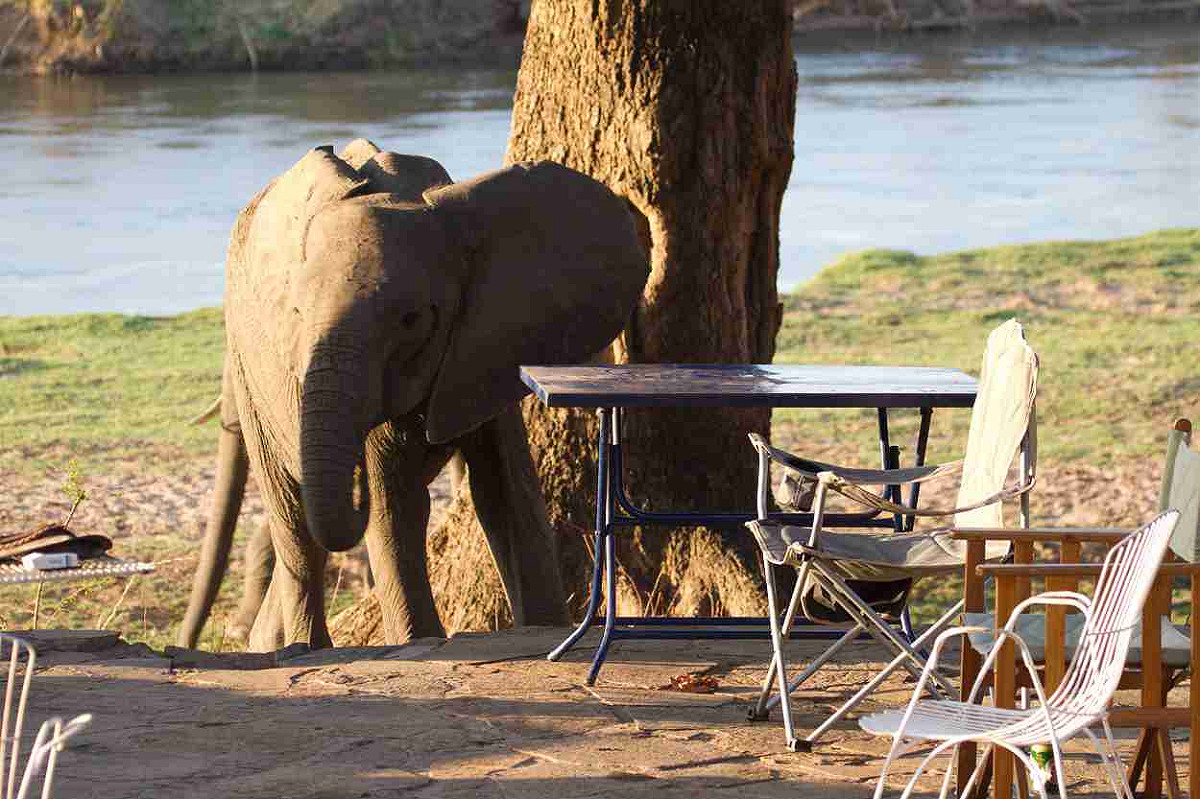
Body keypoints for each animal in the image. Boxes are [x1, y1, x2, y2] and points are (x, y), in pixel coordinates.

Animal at [177, 139, 648, 651]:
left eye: (411, 319)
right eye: (297, 313)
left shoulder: (485, 343)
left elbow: (505, 494)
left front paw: (544, 632)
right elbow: (394, 511)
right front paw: (419, 642)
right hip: (251, 375)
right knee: (295, 526)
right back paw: (304, 648)